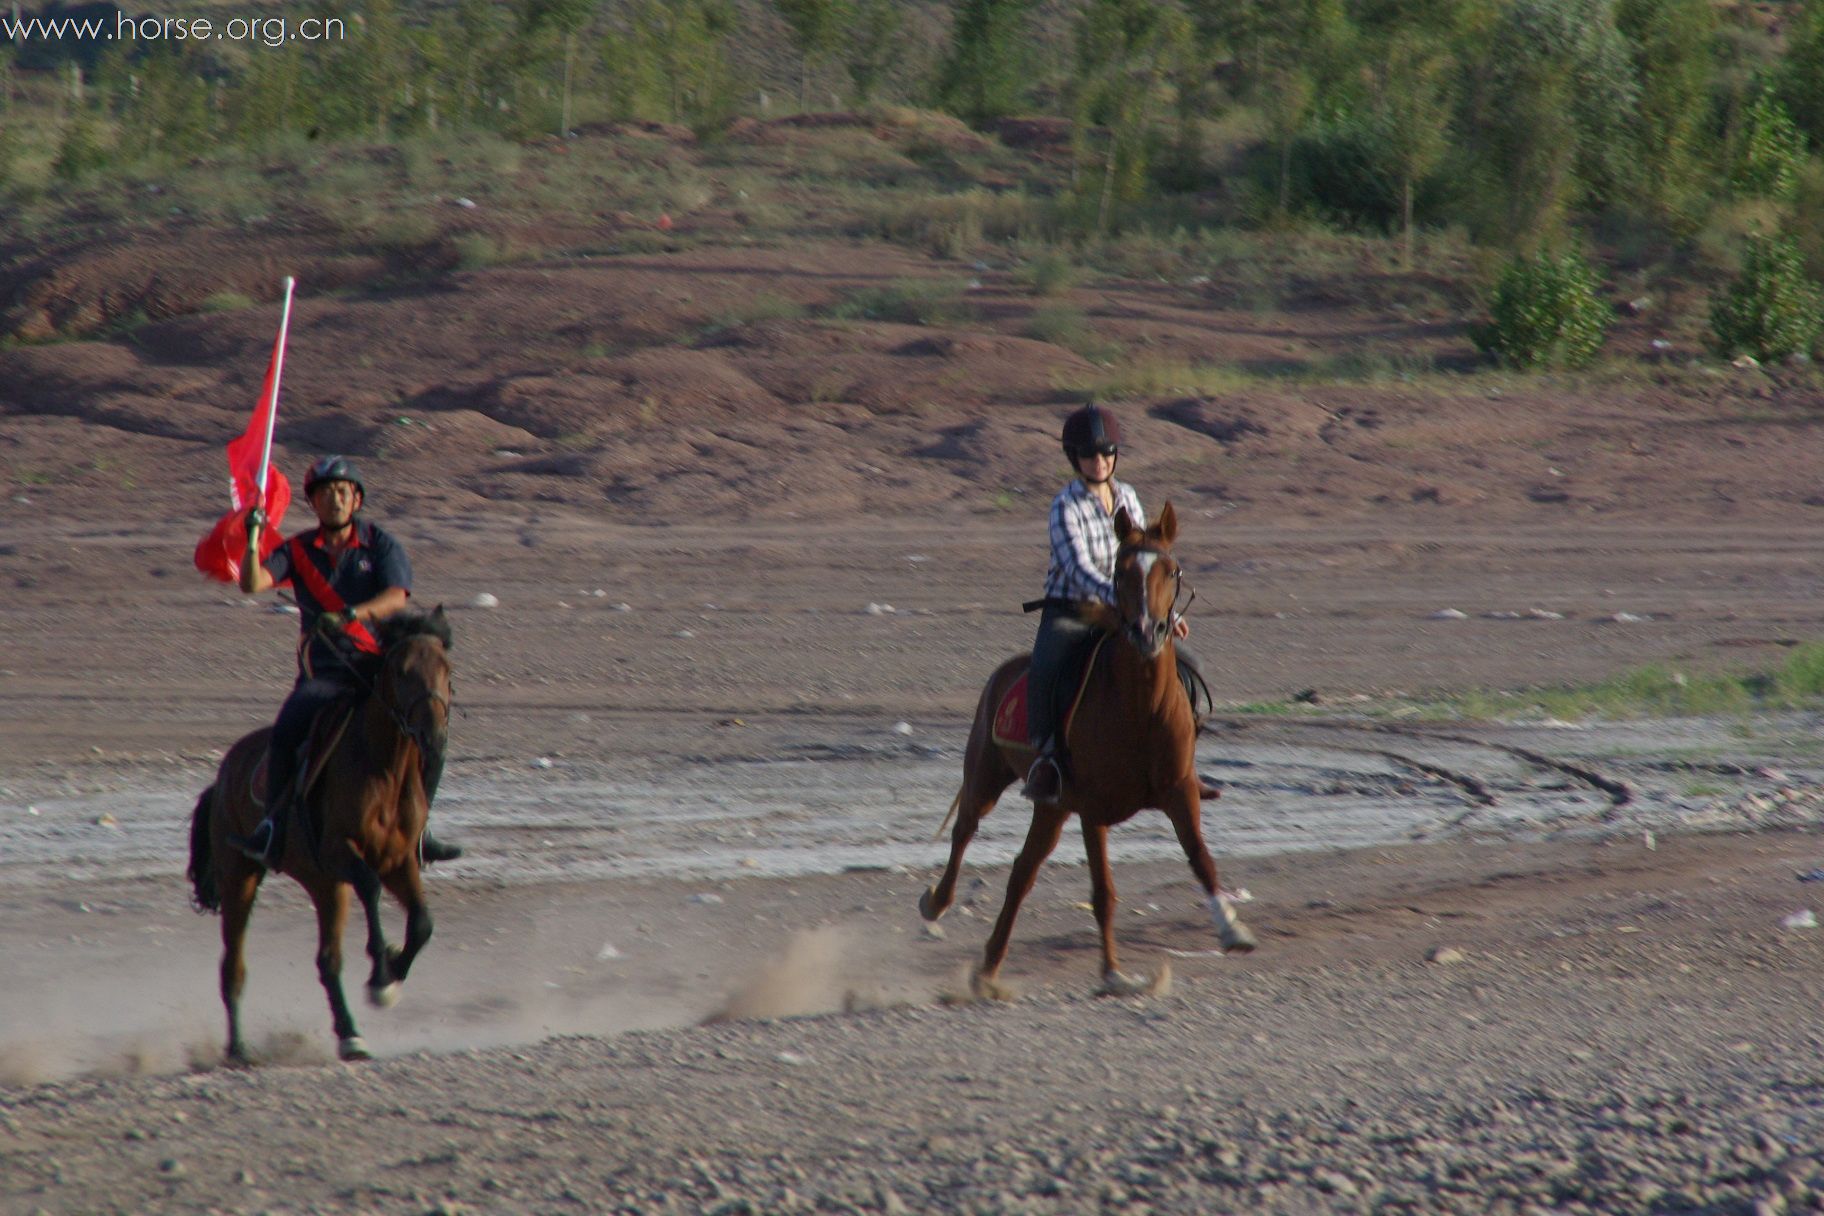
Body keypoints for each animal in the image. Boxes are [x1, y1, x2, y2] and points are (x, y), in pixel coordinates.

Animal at [186, 608, 456, 1064]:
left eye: (446, 669)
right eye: (402, 671)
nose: (432, 736)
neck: (384, 770)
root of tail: (222, 776)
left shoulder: (399, 860)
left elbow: (422, 923)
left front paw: (393, 972)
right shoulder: (338, 852)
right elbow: (370, 885)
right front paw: (381, 975)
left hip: (324, 885)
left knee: (327, 961)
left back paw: (350, 1036)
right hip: (241, 875)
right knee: (233, 967)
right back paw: (238, 1049)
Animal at [926, 503, 1254, 999]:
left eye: (1172, 569)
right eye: (1120, 571)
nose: (1148, 632)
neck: (1140, 707)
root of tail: (1003, 673)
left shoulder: (1179, 790)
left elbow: (1198, 856)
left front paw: (1231, 930)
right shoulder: (1091, 807)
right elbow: (1103, 891)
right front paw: (1113, 972)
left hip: (1052, 807)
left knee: (1022, 871)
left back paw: (989, 968)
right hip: (988, 776)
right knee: (966, 831)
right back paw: (936, 906)